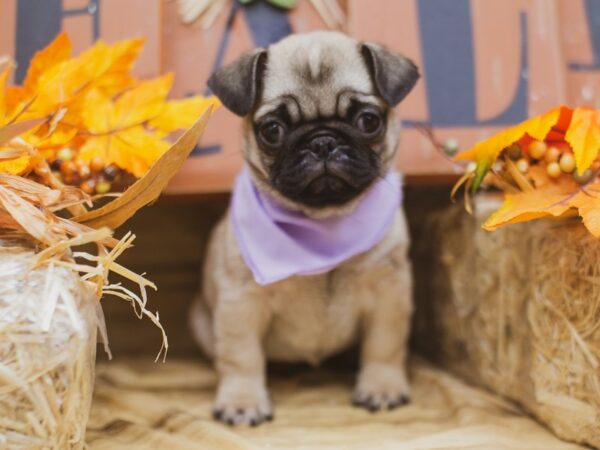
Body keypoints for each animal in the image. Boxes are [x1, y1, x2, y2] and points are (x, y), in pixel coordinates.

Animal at [191, 30, 418, 426]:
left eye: (368, 121)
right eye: (272, 130)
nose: (322, 141)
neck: (322, 223)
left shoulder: (390, 293)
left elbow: (384, 345)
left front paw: (382, 387)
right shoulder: (241, 302)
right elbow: (241, 356)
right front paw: (242, 401)